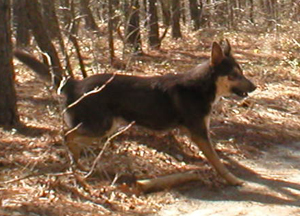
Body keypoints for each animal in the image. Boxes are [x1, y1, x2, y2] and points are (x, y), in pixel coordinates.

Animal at [14, 40, 256, 186]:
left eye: (241, 72)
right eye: (234, 74)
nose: (254, 87)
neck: (203, 86)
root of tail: (75, 83)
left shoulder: (200, 133)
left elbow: (218, 158)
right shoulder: (199, 133)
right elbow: (217, 161)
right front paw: (232, 179)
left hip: (104, 127)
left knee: (72, 139)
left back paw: (80, 165)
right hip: (101, 126)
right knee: (67, 135)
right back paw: (78, 165)